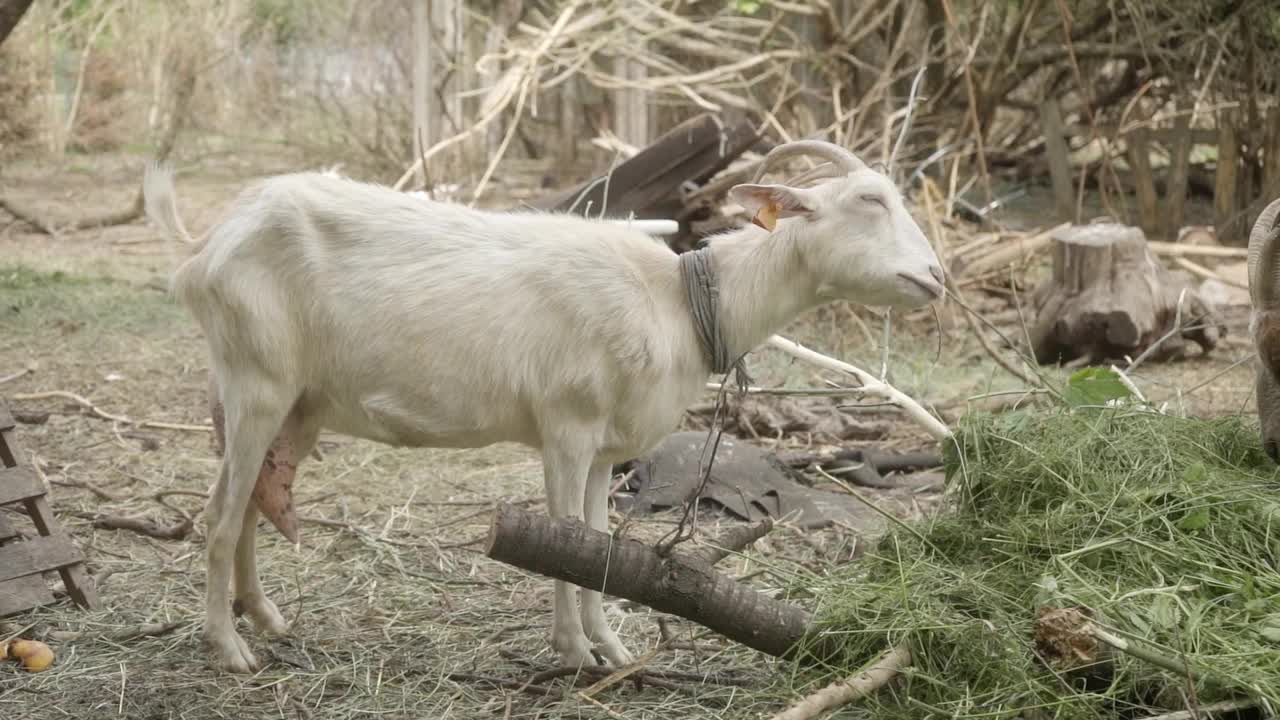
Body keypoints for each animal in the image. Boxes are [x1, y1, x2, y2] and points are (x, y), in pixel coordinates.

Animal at [145, 141, 947, 671]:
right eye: (869, 201)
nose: (936, 277)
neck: (676, 302)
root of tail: (207, 242)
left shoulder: (602, 449)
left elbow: (598, 543)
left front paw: (612, 648)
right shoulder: (567, 426)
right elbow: (564, 539)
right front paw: (572, 651)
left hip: (295, 401)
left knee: (252, 500)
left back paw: (266, 619)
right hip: (255, 379)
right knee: (219, 514)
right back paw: (230, 650)